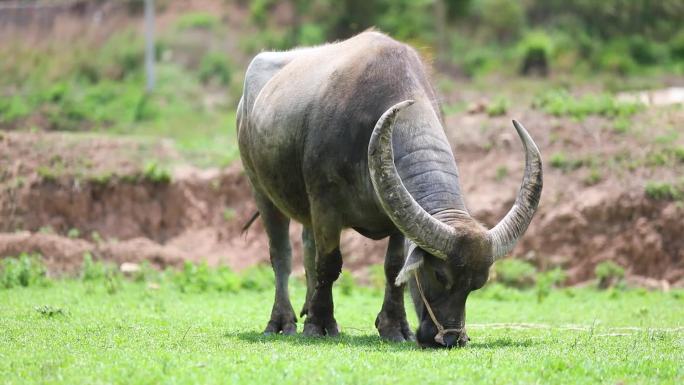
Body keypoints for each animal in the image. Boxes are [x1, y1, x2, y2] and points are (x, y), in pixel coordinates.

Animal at [238, 30, 544, 348]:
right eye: (439, 275)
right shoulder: (325, 204)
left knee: (308, 250)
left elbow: (393, 267)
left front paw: (395, 327)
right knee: (282, 256)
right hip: (262, 191)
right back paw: (282, 321)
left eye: (476, 285)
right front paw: (320, 325)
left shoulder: (395, 216)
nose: (450, 339)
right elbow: (330, 263)